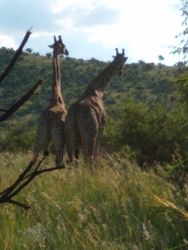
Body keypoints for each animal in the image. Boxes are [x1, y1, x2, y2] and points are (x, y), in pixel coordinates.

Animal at [32, 35, 68, 167]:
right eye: (63, 46)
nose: (67, 52)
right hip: (58, 138)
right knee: (59, 159)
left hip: (42, 134)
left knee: (35, 154)